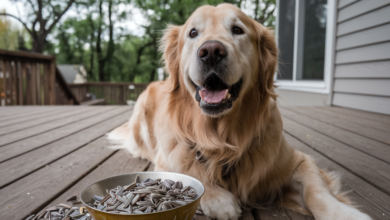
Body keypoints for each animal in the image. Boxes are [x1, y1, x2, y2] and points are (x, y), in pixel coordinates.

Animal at [107, 3, 372, 220]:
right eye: (193, 33)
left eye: (237, 29)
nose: (211, 51)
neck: (221, 137)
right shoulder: (167, 159)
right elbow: (190, 173)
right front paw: (219, 199)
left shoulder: (298, 161)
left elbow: (316, 191)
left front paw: (344, 214)